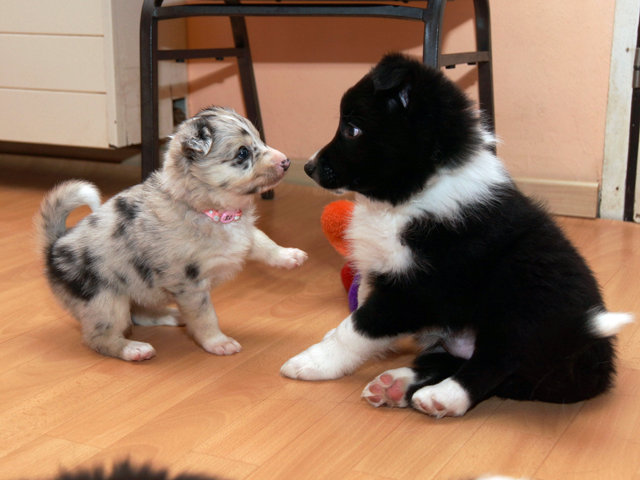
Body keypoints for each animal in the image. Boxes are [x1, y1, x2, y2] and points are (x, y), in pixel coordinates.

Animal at [36, 107, 307, 361]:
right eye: (242, 153)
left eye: (259, 139)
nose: (286, 161)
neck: (210, 210)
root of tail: (54, 246)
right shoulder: (190, 285)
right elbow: (205, 316)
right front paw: (219, 343)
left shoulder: (244, 233)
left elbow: (262, 241)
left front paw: (289, 256)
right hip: (106, 301)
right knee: (100, 337)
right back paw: (133, 349)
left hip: (139, 290)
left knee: (140, 314)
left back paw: (172, 315)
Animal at [280, 53, 633, 417]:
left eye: (352, 130)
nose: (308, 167)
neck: (412, 195)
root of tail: (597, 363)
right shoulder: (381, 271)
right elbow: (360, 309)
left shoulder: (417, 290)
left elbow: (357, 327)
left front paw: (313, 361)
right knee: (453, 361)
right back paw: (395, 385)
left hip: (525, 295)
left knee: (498, 360)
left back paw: (444, 396)